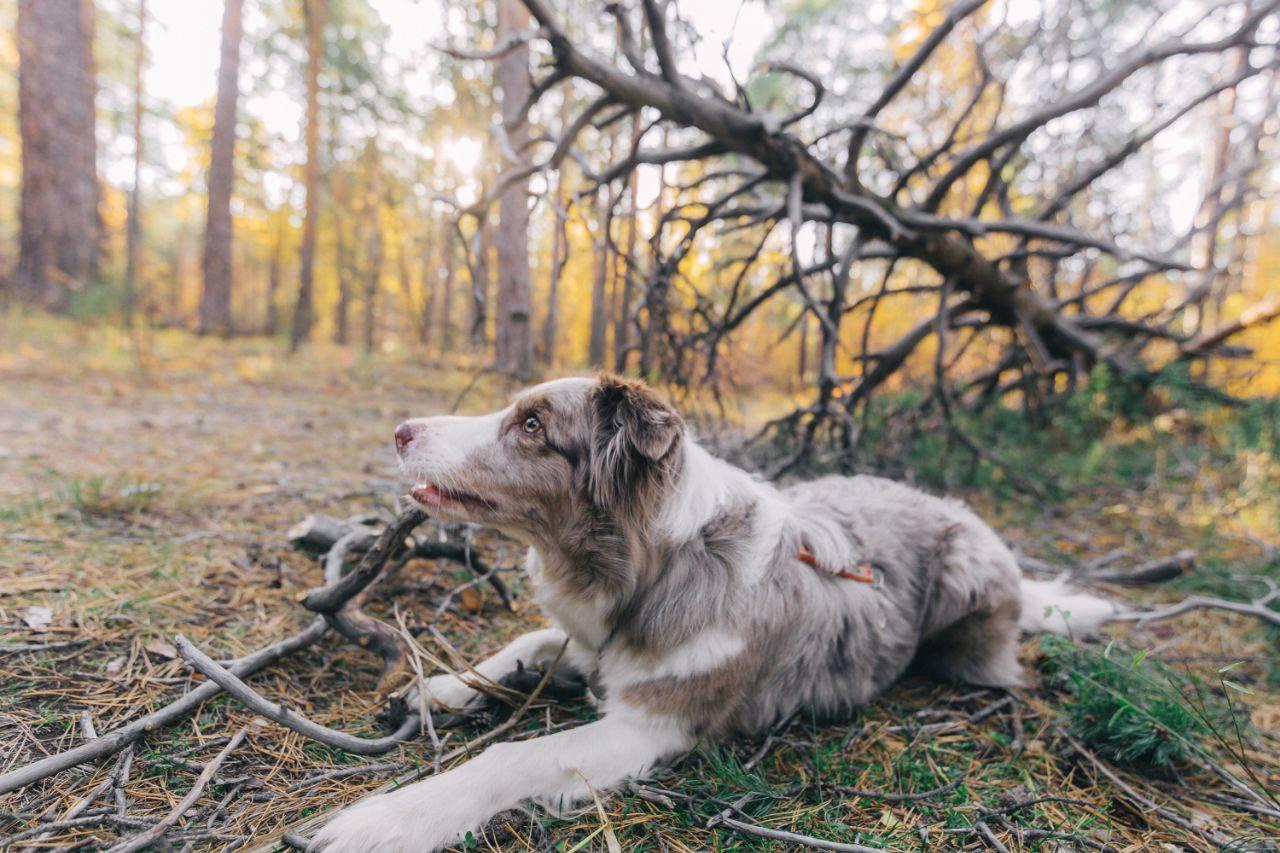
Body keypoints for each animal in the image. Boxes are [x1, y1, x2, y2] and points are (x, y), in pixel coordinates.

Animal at [309, 376, 1111, 845]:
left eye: (533, 425)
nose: (402, 430)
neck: (654, 569)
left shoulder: (651, 726)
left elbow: (511, 756)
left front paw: (387, 819)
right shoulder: (591, 642)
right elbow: (525, 643)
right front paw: (437, 689)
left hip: (966, 603)